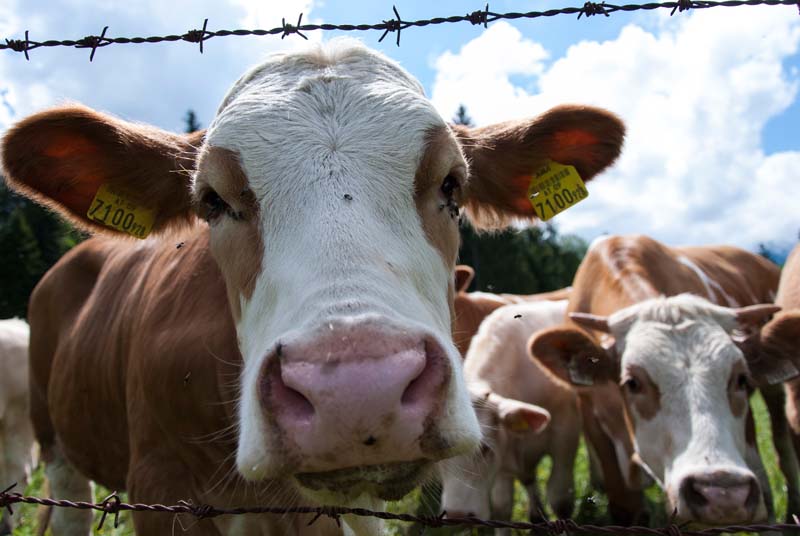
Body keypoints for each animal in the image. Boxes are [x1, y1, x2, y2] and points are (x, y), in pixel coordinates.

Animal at [440, 302, 580, 532]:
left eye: (485, 449)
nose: (456, 515)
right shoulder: (503, 457)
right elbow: (502, 508)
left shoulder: (566, 434)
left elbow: (560, 499)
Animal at [528, 233, 796, 524]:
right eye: (632, 383)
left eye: (741, 379)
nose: (722, 493)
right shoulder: (591, 417)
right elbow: (624, 506)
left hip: (774, 394)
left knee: (784, 451)